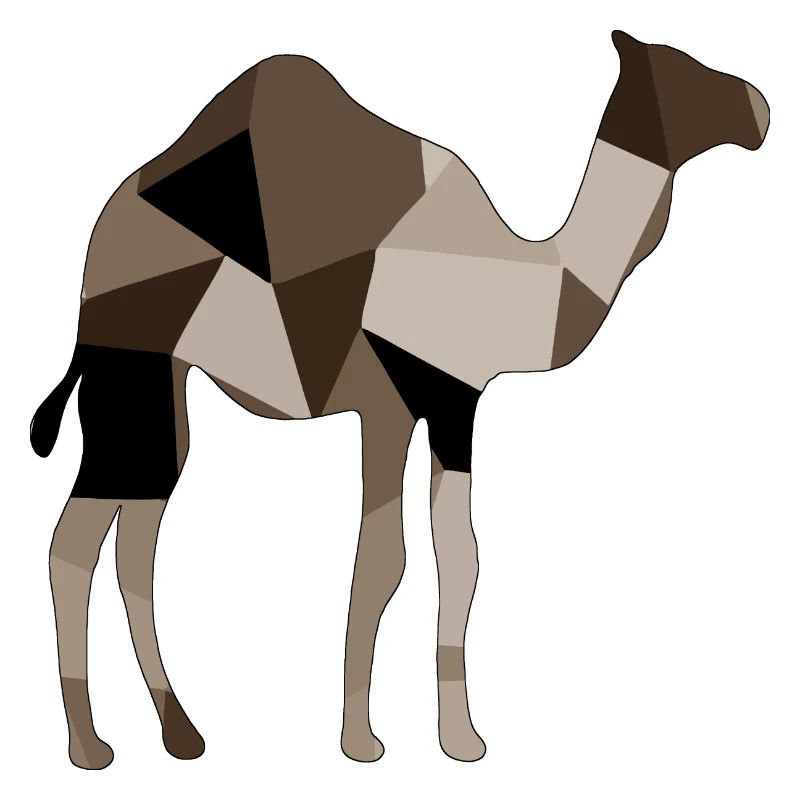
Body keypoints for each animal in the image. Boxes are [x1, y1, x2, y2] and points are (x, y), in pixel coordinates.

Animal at [31, 30, 769, 768]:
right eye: (687, 72)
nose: (761, 108)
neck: (518, 277)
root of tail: (97, 256)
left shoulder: (422, 405)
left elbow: (423, 557)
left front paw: (410, 736)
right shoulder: (421, 399)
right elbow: (421, 557)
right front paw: (411, 740)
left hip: (161, 388)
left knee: (136, 538)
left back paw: (179, 733)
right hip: (132, 368)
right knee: (77, 541)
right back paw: (90, 745)